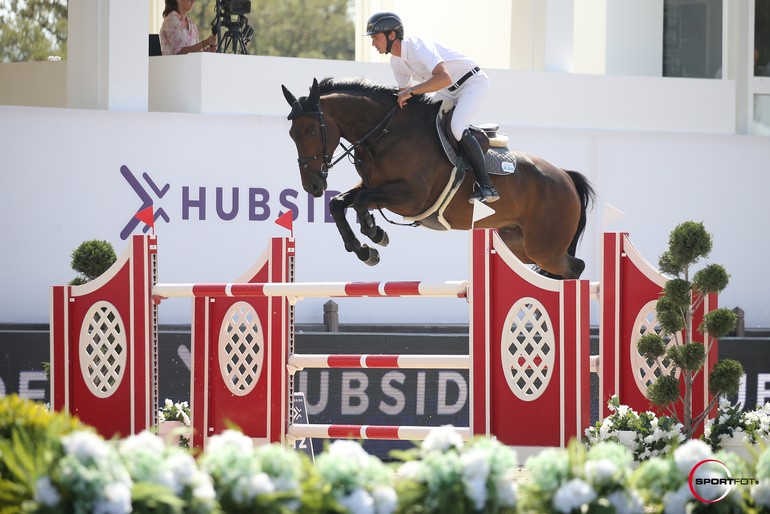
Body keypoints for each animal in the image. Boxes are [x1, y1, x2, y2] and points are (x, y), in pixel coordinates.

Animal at [280, 76, 592, 278]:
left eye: (311, 131)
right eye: (291, 134)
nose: (313, 185)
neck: (385, 132)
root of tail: (565, 177)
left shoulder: (410, 198)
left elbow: (360, 202)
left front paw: (374, 233)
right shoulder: (376, 187)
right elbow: (339, 204)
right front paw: (366, 250)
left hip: (543, 247)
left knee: (575, 267)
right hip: (519, 245)